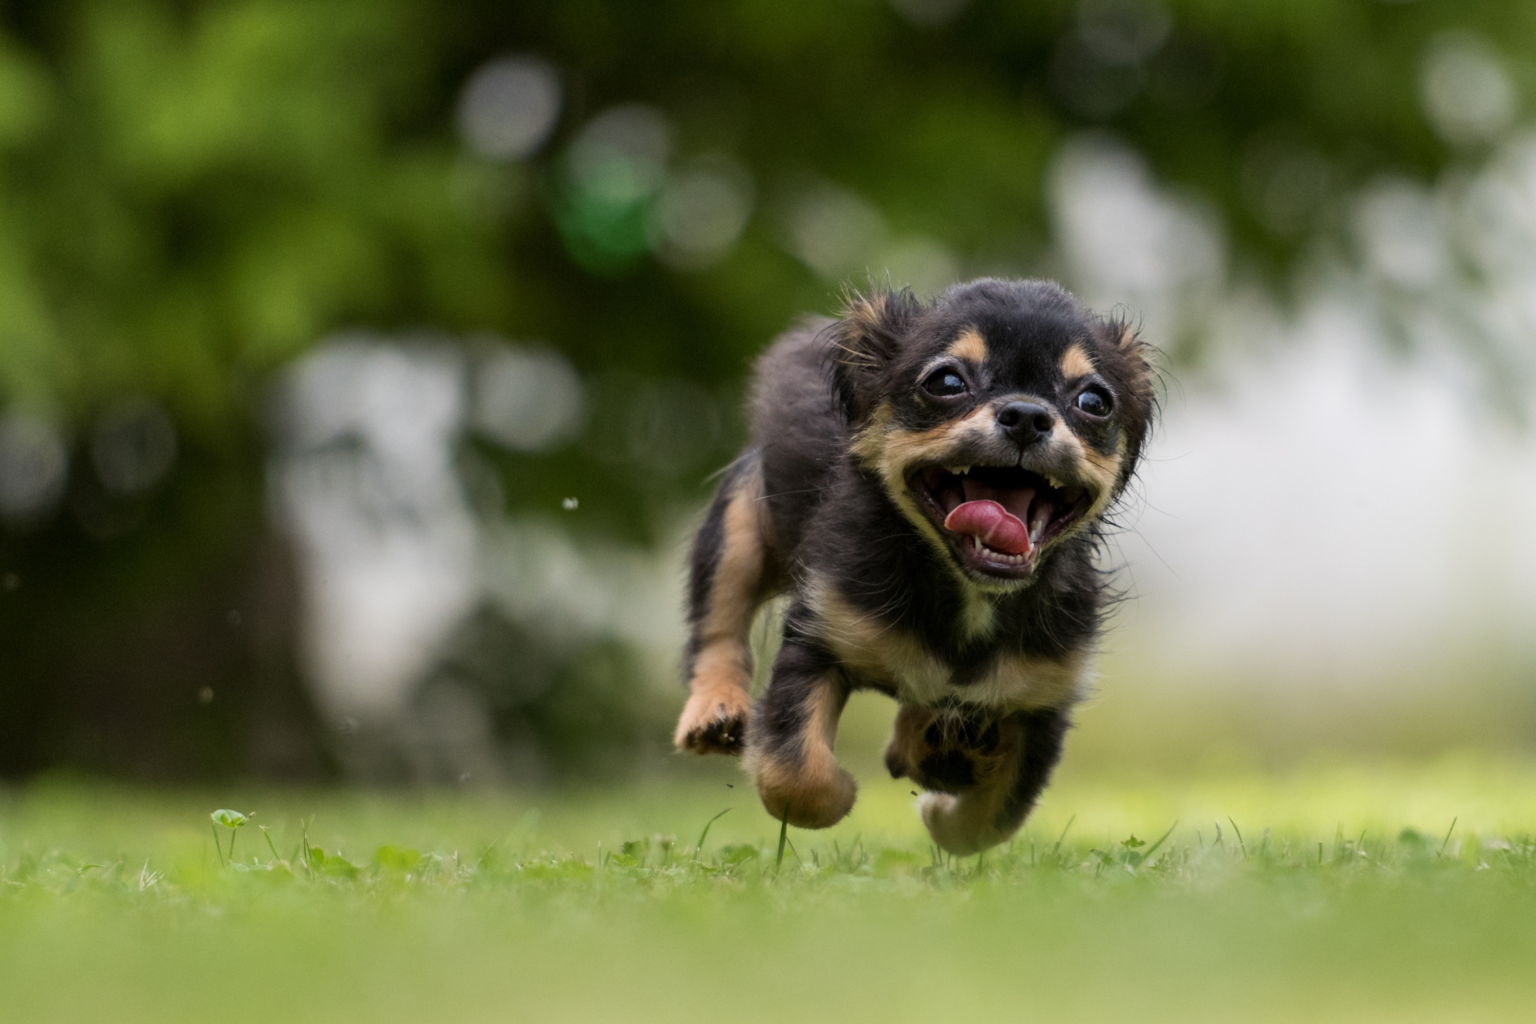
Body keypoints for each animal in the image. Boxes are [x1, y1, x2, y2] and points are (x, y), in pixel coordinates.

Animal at [672, 276, 1155, 853]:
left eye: (1093, 401)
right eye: (946, 382)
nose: (1027, 415)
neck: (968, 592)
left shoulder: (1040, 699)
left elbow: (989, 821)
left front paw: (939, 808)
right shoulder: (819, 638)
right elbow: (796, 777)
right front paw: (844, 792)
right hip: (739, 526)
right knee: (718, 625)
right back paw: (714, 711)